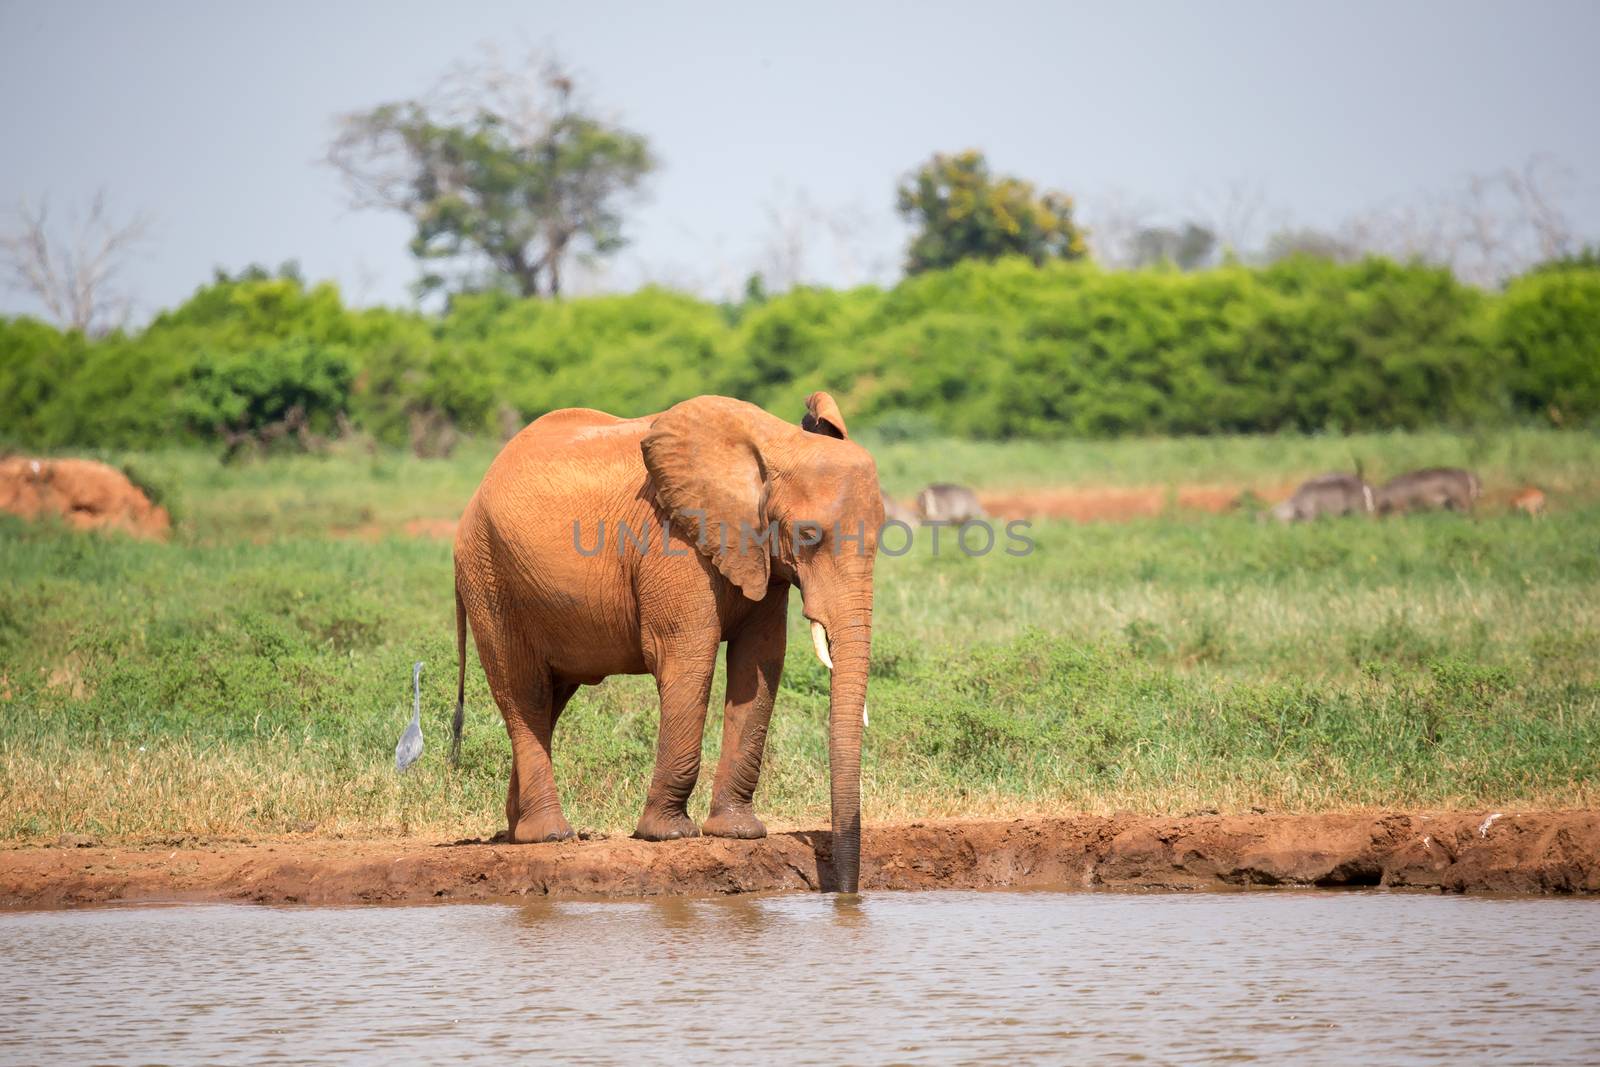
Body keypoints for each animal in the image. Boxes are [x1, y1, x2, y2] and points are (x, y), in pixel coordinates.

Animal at [444, 391, 883, 895]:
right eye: (809, 535)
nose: (845, 890)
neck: (773, 444)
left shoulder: (759, 554)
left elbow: (759, 666)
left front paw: (738, 832)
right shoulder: (674, 542)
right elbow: (688, 659)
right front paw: (668, 835)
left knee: (549, 700)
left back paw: (517, 831)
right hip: (489, 579)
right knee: (524, 694)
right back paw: (549, 836)